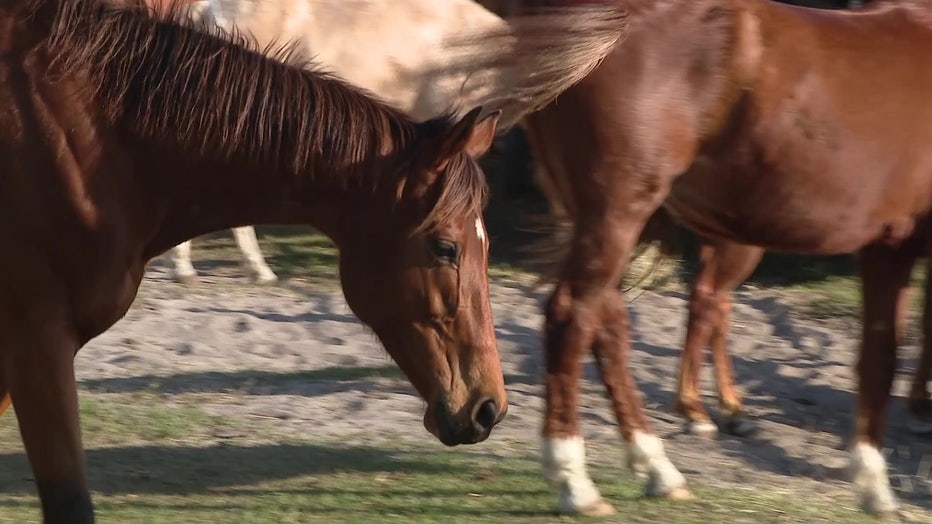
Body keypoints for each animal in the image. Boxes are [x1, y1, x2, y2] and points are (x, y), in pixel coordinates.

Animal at [488, 0, 932, 516]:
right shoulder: (897, 247)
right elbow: (887, 356)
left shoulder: (887, 247)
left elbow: (879, 354)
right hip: (618, 210)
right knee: (574, 316)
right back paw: (576, 482)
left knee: (611, 324)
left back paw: (658, 467)